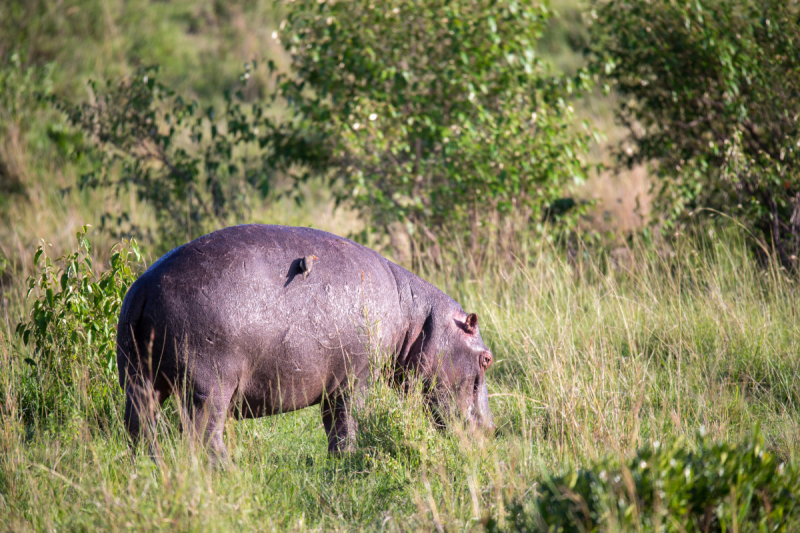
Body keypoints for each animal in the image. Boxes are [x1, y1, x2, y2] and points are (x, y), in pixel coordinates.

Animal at [117, 222, 494, 460]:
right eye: (486, 358)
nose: (491, 429)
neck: (416, 318)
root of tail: (144, 288)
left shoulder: (334, 381)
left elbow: (334, 426)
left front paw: (339, 461)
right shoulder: (355, 378)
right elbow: (349, 420)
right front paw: (351, 459)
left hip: (138, 378)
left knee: (140, 427)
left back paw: (150, 467)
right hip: (207, 385)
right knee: (204, 434)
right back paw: (226, 470)